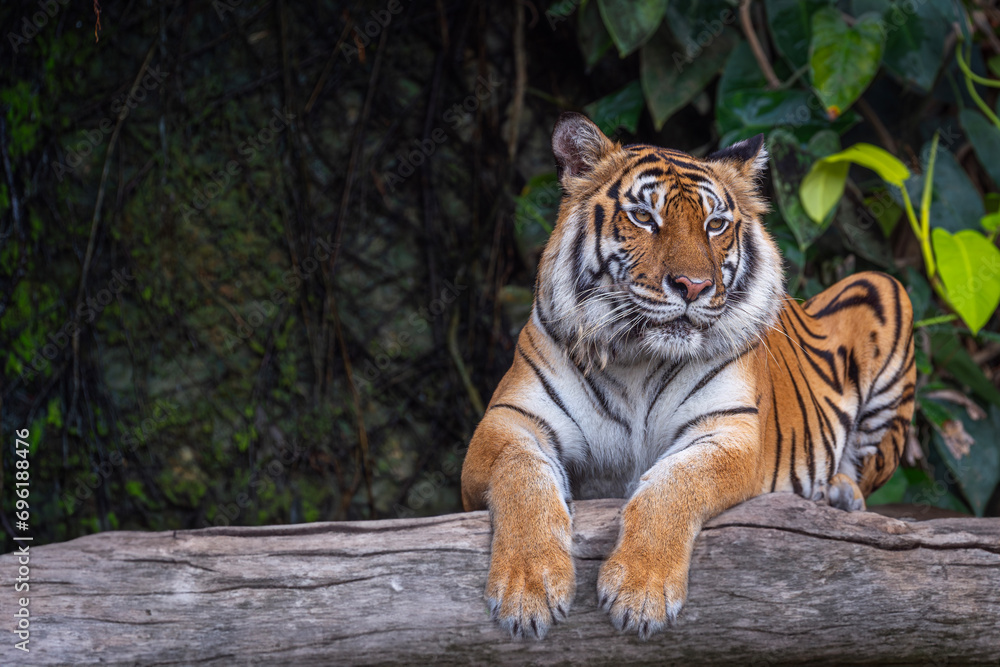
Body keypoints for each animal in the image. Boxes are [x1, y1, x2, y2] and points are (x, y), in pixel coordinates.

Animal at [460, 112, 916, 640]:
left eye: (715, 225)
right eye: (644, 218)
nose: (694, 287)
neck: (635, 359)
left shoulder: (729, 431)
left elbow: (673, 485)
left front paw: (641, 592)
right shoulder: (508, 421)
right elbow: (523, 476)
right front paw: (528, 588)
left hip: (884, 287)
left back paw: (840, 496)